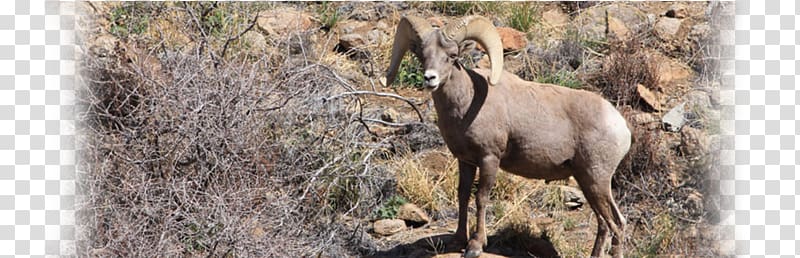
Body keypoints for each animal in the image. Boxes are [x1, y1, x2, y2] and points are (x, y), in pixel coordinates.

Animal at [384, 15, 636, 256]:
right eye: (421, 54)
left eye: (452, 55)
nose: (430, 78)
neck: (466, 103)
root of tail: (621, 126)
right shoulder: (466, 161)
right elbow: (463, 195)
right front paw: (458, 240)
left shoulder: (489, 158)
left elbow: (481, 197)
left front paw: (475, 245)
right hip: (587, 181)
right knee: (606, 223)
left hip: (596, 179)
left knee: (616, 224)